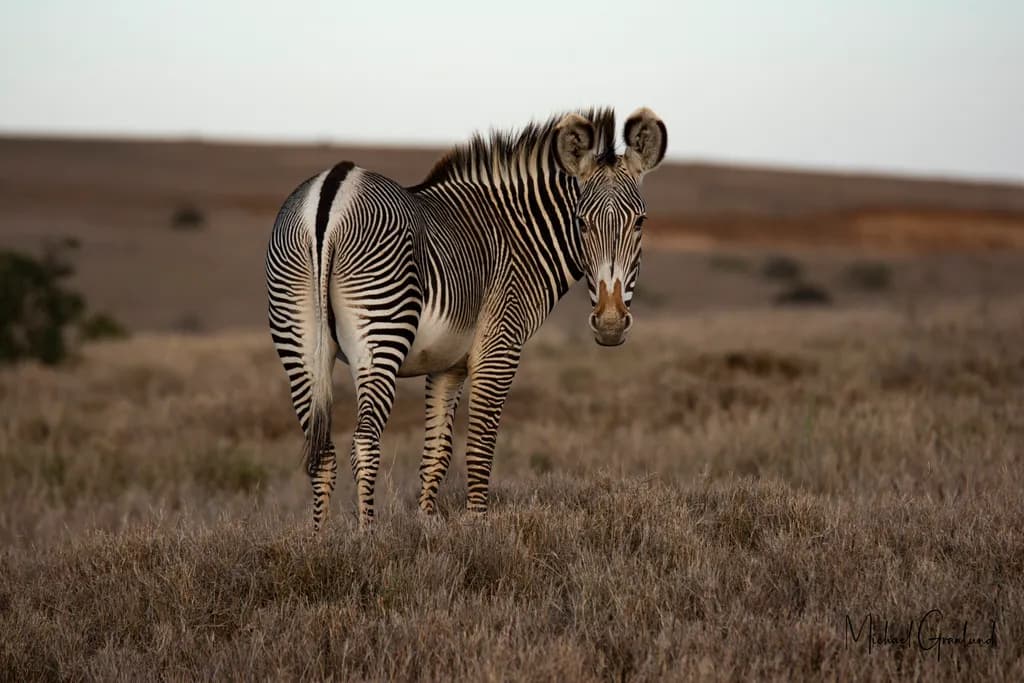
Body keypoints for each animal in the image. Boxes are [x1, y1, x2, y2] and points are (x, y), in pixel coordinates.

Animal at [267, 107, 667, 530]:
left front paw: (426, 527)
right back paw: (366, 536)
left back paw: (320, 539)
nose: (610, 324)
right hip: (380, 334)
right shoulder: (499, 346)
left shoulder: (448, 365)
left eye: (639, 222)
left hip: (299, 341)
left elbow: (436, 454)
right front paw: (480, 528)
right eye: (581, 222)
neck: (519, 233)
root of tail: (333, 186)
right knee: (363, 442)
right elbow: (479, 445)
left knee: (321, 451)